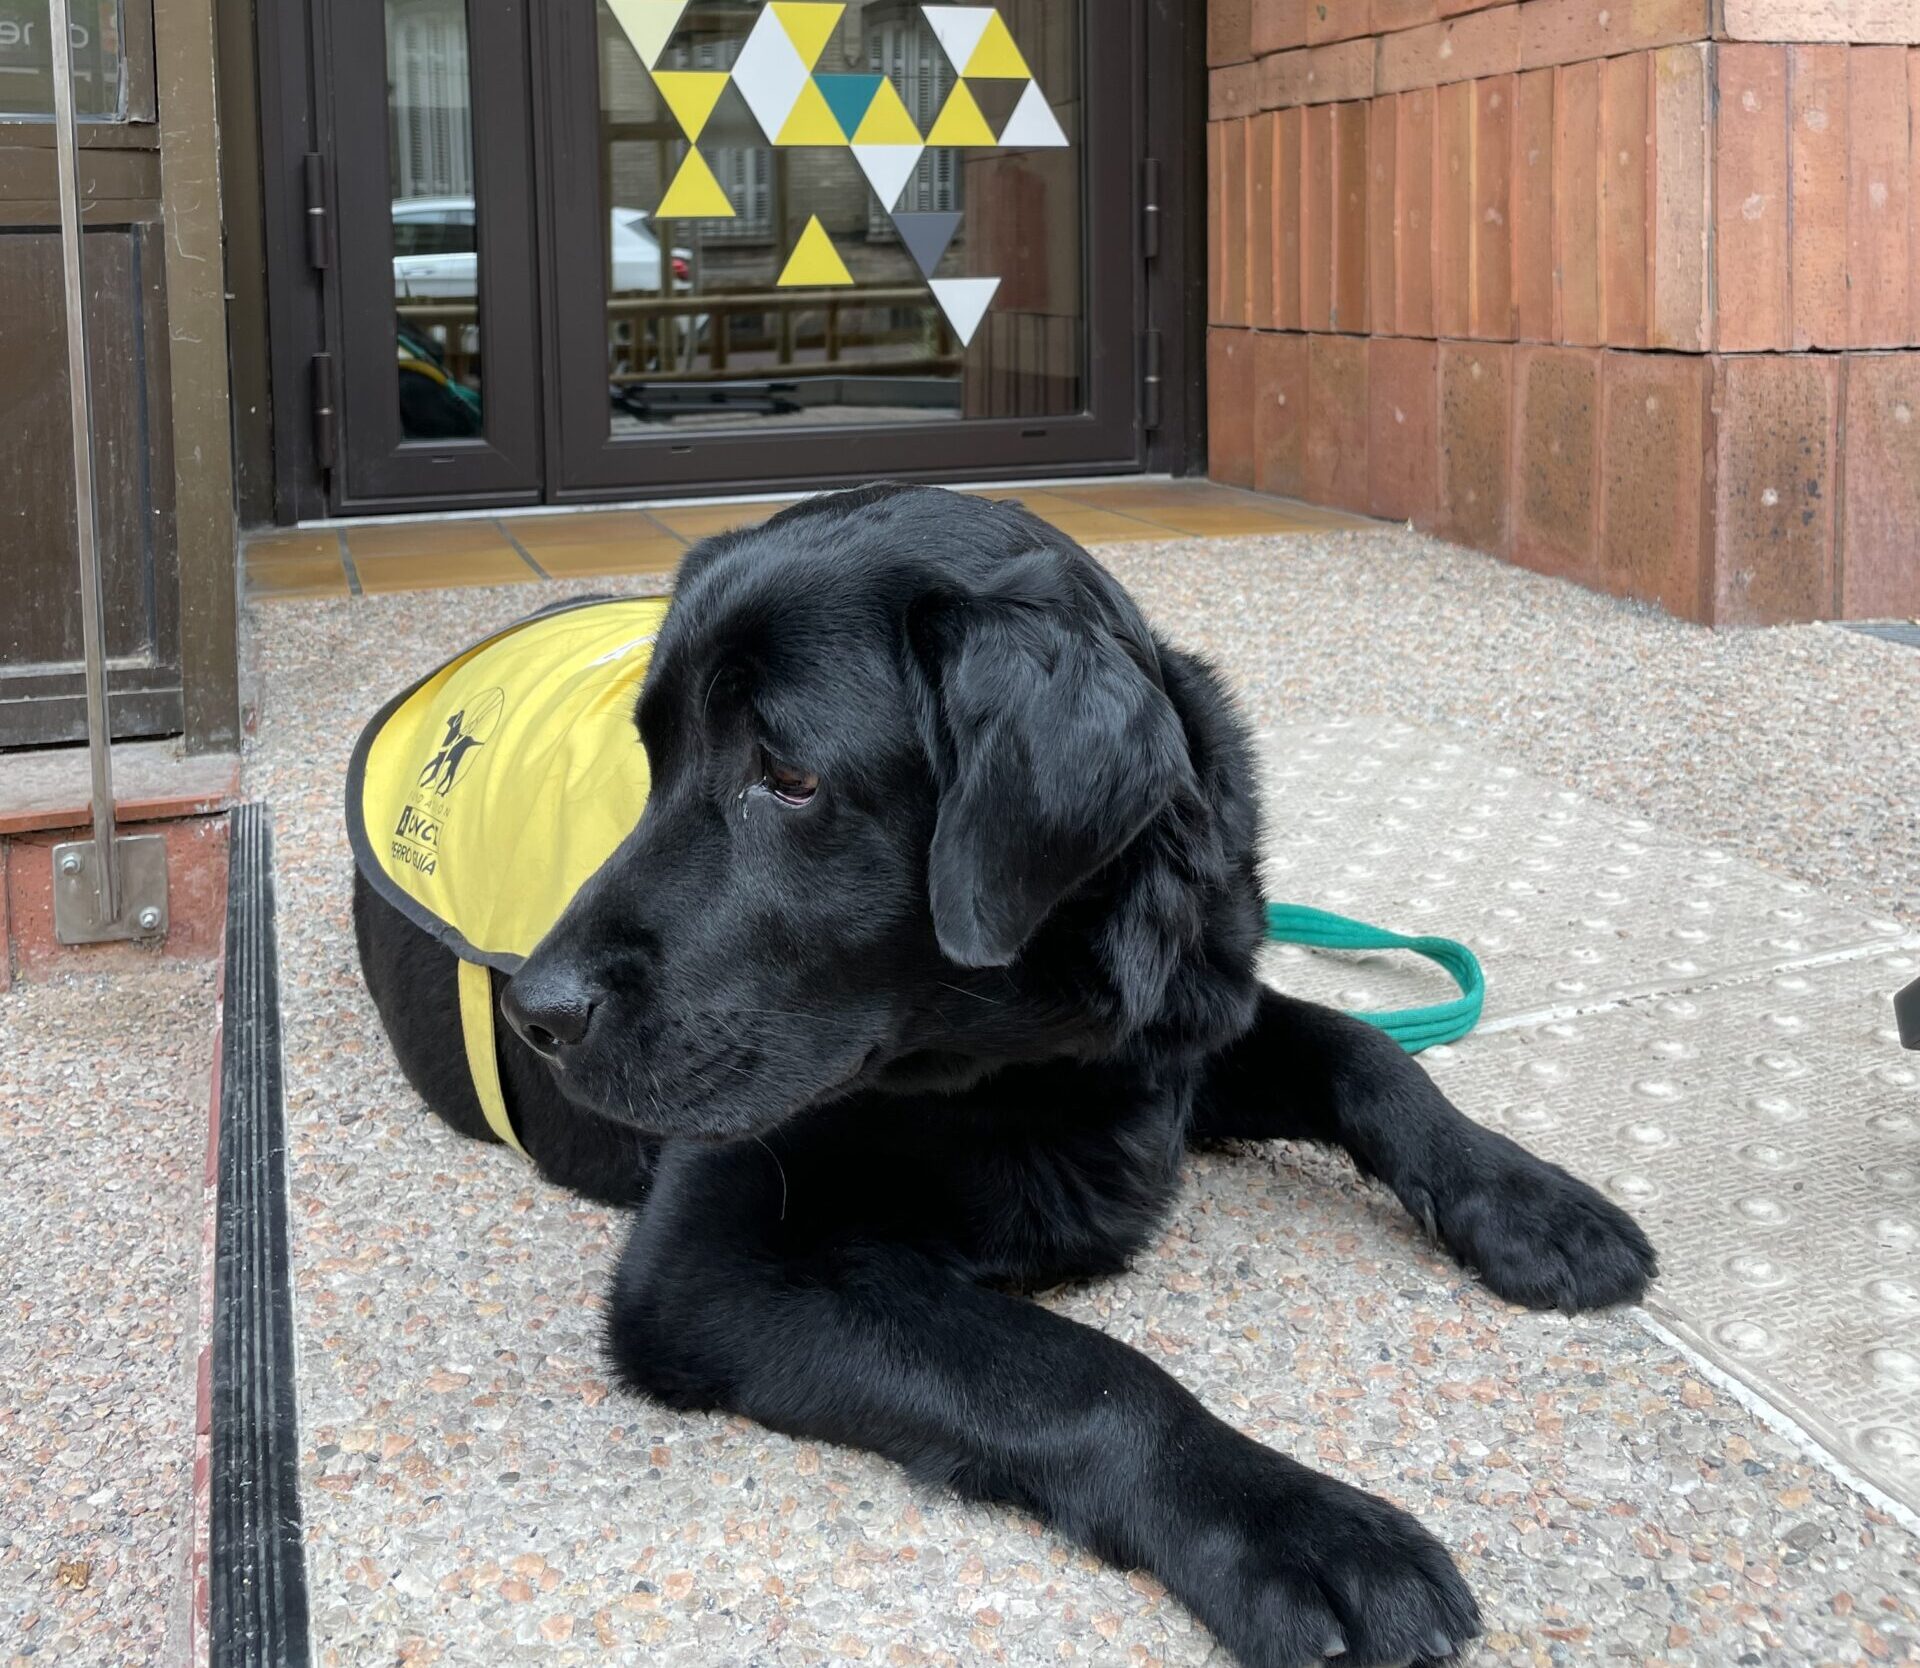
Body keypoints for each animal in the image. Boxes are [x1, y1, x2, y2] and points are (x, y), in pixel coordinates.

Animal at [357, 477, 1651, 1666]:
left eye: (790, 778)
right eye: (652, 763)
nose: (536, 1011)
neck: (1020, 1046)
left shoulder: (1185, 1021)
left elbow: (1366, 1051)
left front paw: (1527, 1198)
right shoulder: (705, 1266)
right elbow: (1077, 1374)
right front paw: (1301, 1526)